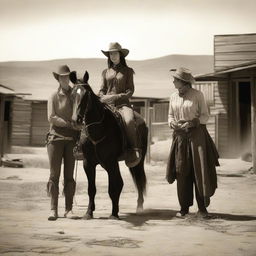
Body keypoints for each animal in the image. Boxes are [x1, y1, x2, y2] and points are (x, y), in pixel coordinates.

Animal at [70, 71, 148, 219]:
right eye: (72, 94)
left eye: (86, 95)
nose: (76, 120)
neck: (98, 130)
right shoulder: (88, 163)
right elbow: (91, 189)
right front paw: (88, 212)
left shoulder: (111, 161)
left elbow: (113, 188)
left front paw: (114, 213)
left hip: (137, 161)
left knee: (137, 180)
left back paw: (140, 207)